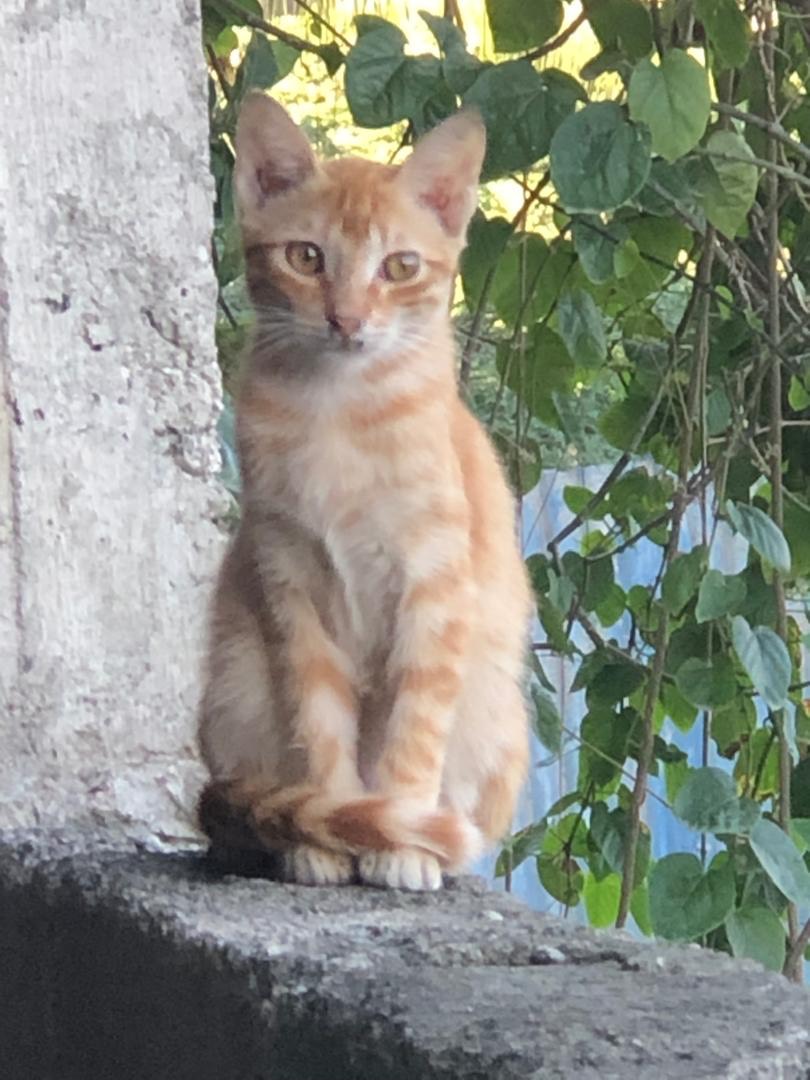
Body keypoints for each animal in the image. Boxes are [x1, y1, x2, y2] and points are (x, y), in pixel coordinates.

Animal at [197, 92, 531, 891]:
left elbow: (415, 723)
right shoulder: (289, 579)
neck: (337, 415)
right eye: (306, 257)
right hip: (234, 688)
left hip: (496, 714)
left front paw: (399, 837)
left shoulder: (434, 585)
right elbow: (319, 722)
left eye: (400, 266)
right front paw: (329, 828)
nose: (345, 320)